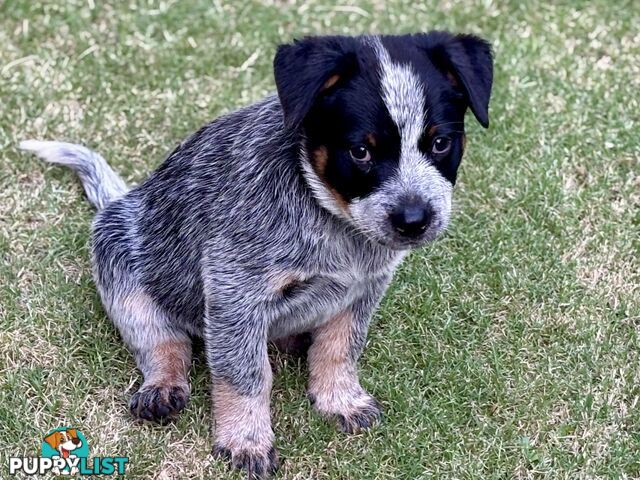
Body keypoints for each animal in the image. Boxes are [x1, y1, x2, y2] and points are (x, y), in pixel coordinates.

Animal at [18, 31, 490, 478]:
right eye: (361, 151)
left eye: (441, 143)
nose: (414, 219)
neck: (333, 223)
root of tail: (121, 199)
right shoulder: (235, 292)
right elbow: (246, 375)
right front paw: (245, 441)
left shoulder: (364, 288)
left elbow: (340, 347)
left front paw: (340, 399)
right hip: (119, 257)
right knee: (162, 340)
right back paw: (163, 386)